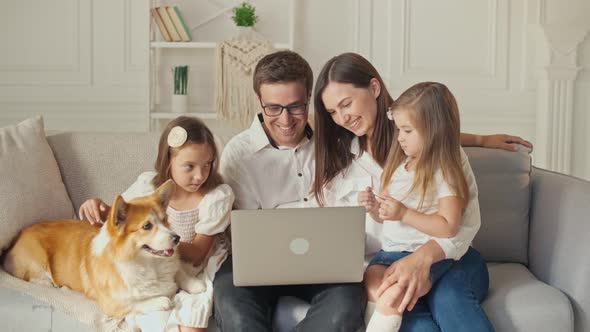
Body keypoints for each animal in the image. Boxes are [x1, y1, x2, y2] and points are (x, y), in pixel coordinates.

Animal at [2, 182, 206, 320]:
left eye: (164, 220)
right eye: (147, 226)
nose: (177, 238)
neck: (148, 264)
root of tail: (15, 239)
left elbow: (180, 271)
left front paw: (196, 284)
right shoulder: (112, 305)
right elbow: (135, 303)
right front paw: (162, 300)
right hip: (37, 257)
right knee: (33, 277)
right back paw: (50, 284)